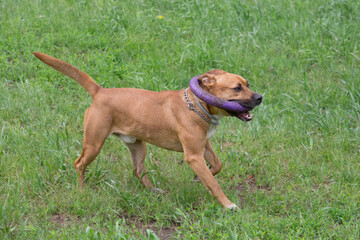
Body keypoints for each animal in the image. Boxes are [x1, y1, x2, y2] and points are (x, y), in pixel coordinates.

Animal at [33, 51, 262, 209]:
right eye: (237, 88)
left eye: (248, 84)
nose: (260, 97)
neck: (198, 104)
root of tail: (100, 91)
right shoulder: (193, 155)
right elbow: (214, 184)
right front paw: (227, 204)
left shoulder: (204, 145)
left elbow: (217, 165)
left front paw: (199, 178)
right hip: (93, 144)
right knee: (79, 163)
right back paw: (82, 190)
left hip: (138, 146)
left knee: (138, 170)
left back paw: (153, 190)